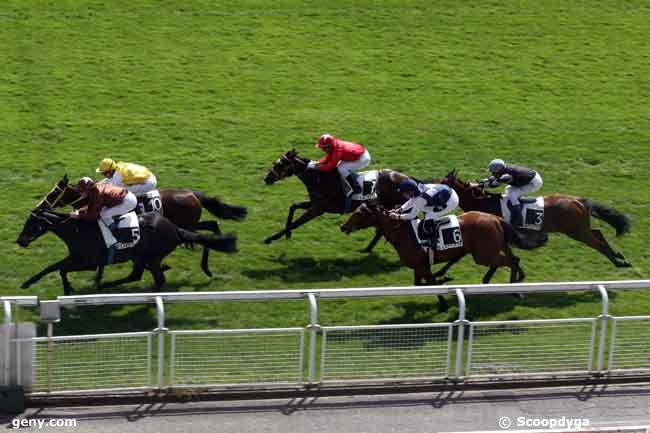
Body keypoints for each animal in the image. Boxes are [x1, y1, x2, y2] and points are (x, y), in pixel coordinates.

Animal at [16, 179, 237, 294]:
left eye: (54, 193)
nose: (20, 240)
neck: (77, 229)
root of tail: (192, 194)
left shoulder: (86, 260)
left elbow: (61, 268)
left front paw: (72, 287)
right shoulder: (78, 257)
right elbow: (55, 267)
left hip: (181, 228)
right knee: (208, 228)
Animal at [262, 148, 410, 251]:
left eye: (280, 165)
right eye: (275, 163)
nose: (267, 179)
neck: (318, 179)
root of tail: (408, 179)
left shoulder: (317, 209)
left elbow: (297, 223)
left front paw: (270, 238)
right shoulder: (315, 204)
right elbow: (293, 206)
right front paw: (288, 234)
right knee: (381, 229)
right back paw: (367, 249)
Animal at [336, 203, 540, 308]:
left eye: (359, 214)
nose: (343, 227)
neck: (404, 233)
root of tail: (496, 218)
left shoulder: (422, 266)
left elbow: (430, 283)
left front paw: (443, 299)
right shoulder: (419, 266)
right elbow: (420, 284)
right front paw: (444, 280)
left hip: (483, 254)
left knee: (511, 260)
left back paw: (514, 290)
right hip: (490, 248)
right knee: (510, 259)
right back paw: (503, 280)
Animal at [440, 170, 628, 266]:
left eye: (443, 183)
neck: (485, 203)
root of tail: (577, 200)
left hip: (576, 231)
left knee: (596, 242)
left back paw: (618, 262)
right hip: (580, 228)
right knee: (598, 233)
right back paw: (618, 256)